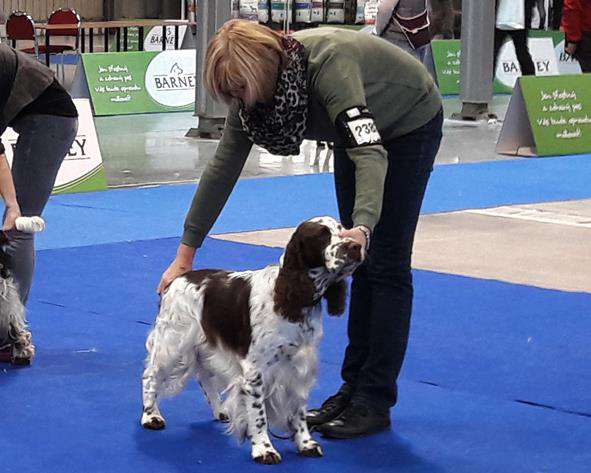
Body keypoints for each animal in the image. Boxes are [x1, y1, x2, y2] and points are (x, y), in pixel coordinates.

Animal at [142, 216, 366, 462]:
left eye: (343, 230)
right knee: (150, 376)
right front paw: (264, 449)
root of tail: (178, 278)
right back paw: (151, 416)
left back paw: (220, 411)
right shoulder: (255, 371)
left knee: (205, 377)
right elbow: (259, 416)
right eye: (321, 235)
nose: (356, 246)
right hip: (174, 343)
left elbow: (299, 412)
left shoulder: (298, 367)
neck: (292, 298)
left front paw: (305, 444)